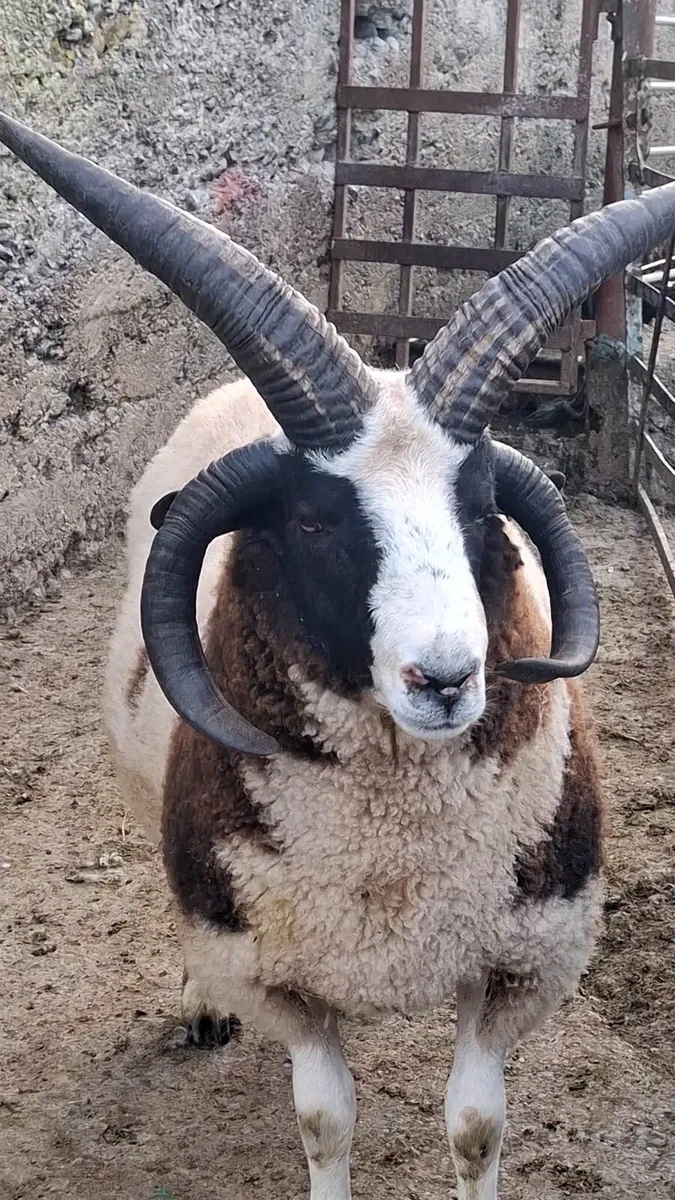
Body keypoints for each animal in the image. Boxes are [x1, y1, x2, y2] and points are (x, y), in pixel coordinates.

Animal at [3, 110, 675, 1200]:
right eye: (314, 522)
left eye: (479, 507)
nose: (445, 678)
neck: (392, 848)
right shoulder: (282, 976)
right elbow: (326, 1123)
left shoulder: (519, 961)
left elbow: (476, 1127)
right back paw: (199, 1007)